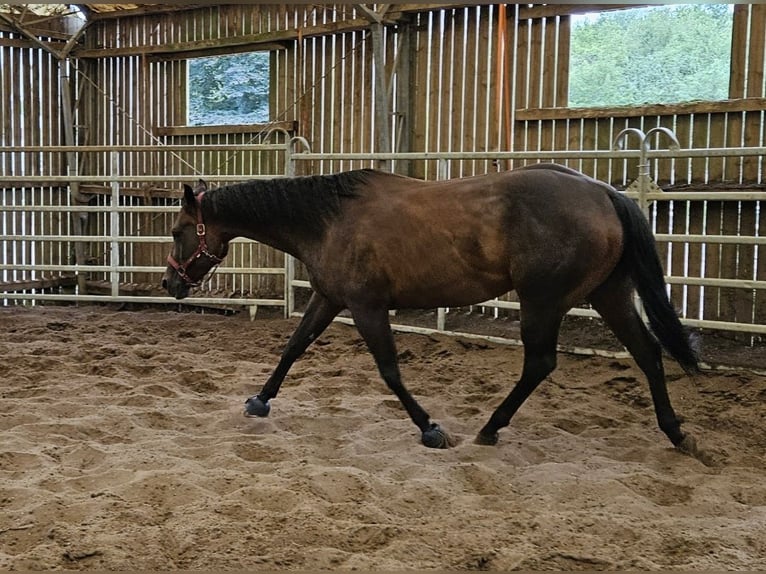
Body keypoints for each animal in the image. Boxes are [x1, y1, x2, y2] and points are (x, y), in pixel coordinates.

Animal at [162, 163, 701, 456]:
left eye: (176, 231)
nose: (170, 283)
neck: (328, 221)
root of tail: (605, 193)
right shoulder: (329, 298)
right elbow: (293, 348)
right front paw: (259, 400)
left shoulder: (366, 306)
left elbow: (389, 370)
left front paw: (431, 429)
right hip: (609, 295)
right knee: (649, 354)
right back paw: (677, 433)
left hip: (543, 301)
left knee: (541, 363)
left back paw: (490, 428)